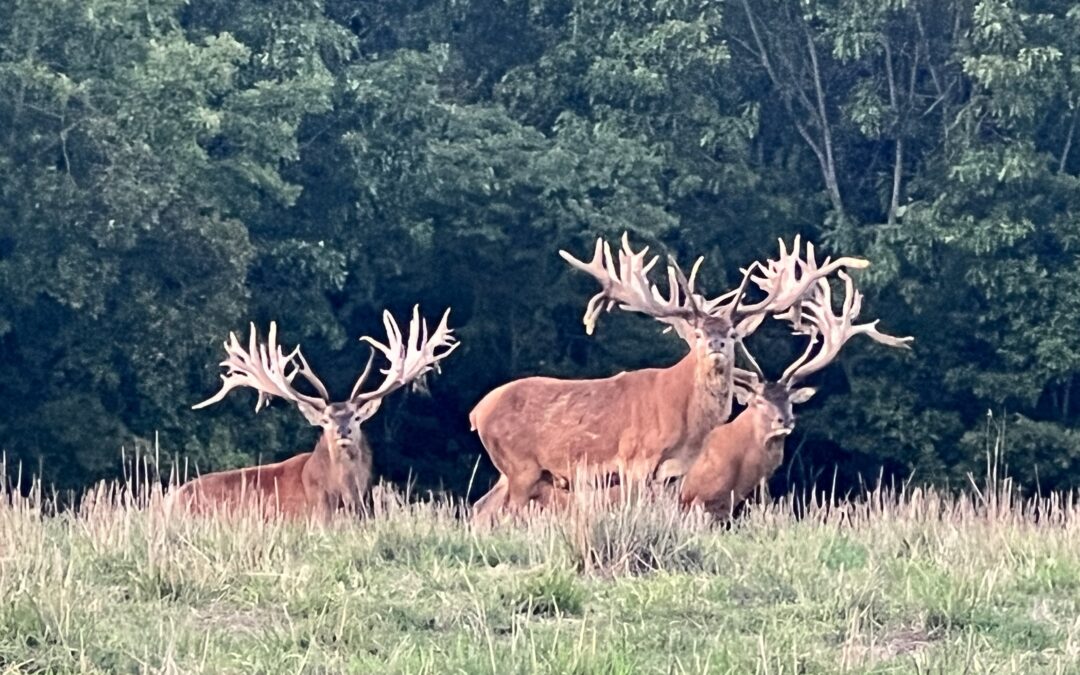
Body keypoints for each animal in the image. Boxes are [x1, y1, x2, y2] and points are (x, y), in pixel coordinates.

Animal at [468, 233, 864, 516]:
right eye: (700, 333)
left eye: (732, 333)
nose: (717, 343)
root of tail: (476, 412)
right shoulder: (635, 460)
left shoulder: (676, 476)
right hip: (520, 465)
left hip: (517, 472)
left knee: (484, 508)